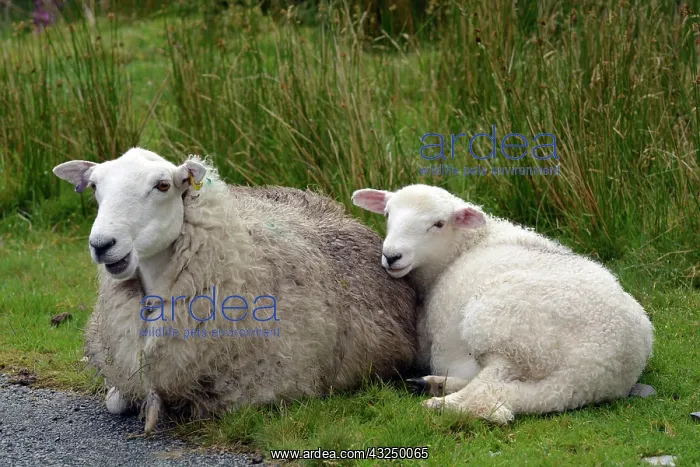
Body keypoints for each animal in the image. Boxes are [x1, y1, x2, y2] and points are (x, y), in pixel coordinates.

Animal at [352, 184, 654, 424]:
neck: (463, 248)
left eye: (438, 224)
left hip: (510, 334)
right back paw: (432, 386)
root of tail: (600, 366)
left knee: (488, 391)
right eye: (387, 214)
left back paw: (440, 402)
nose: (392, 256)